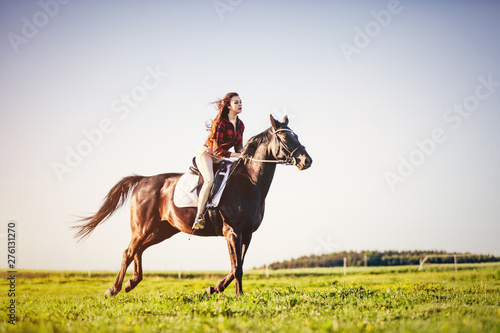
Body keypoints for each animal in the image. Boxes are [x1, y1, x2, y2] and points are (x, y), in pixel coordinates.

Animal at [73, 115, 312, 296]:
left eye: (297, 135)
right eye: (285, 137)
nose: (306, 161)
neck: (249, 182)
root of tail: (142, 180)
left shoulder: (247, 234)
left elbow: (237, 265)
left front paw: (214, 289)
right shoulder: (232, 231)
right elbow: (237, 267)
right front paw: (237, 295)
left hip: (162, 230)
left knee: (138, 250)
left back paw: (132, 283)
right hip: (142, 228)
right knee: (128, 252)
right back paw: (113, 289)